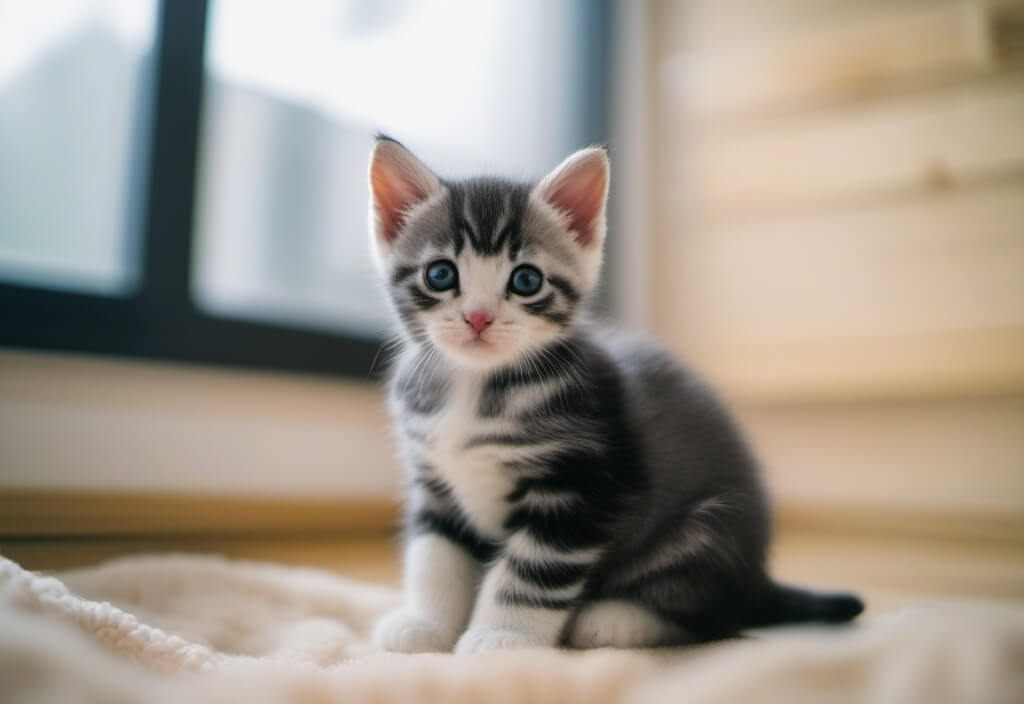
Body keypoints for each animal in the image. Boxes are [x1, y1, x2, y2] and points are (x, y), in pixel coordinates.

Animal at [368, 137, 864, 654]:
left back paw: (616, 618)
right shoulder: (435, 483)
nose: (478, 318)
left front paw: (501, 637)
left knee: (711, 615)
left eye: (526, 280)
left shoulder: (585, 484)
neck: (475, 385)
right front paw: (426, 623)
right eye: (441, 275)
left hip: (710, 532)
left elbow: (530, 573)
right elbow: (434, 558)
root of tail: (758, 579)